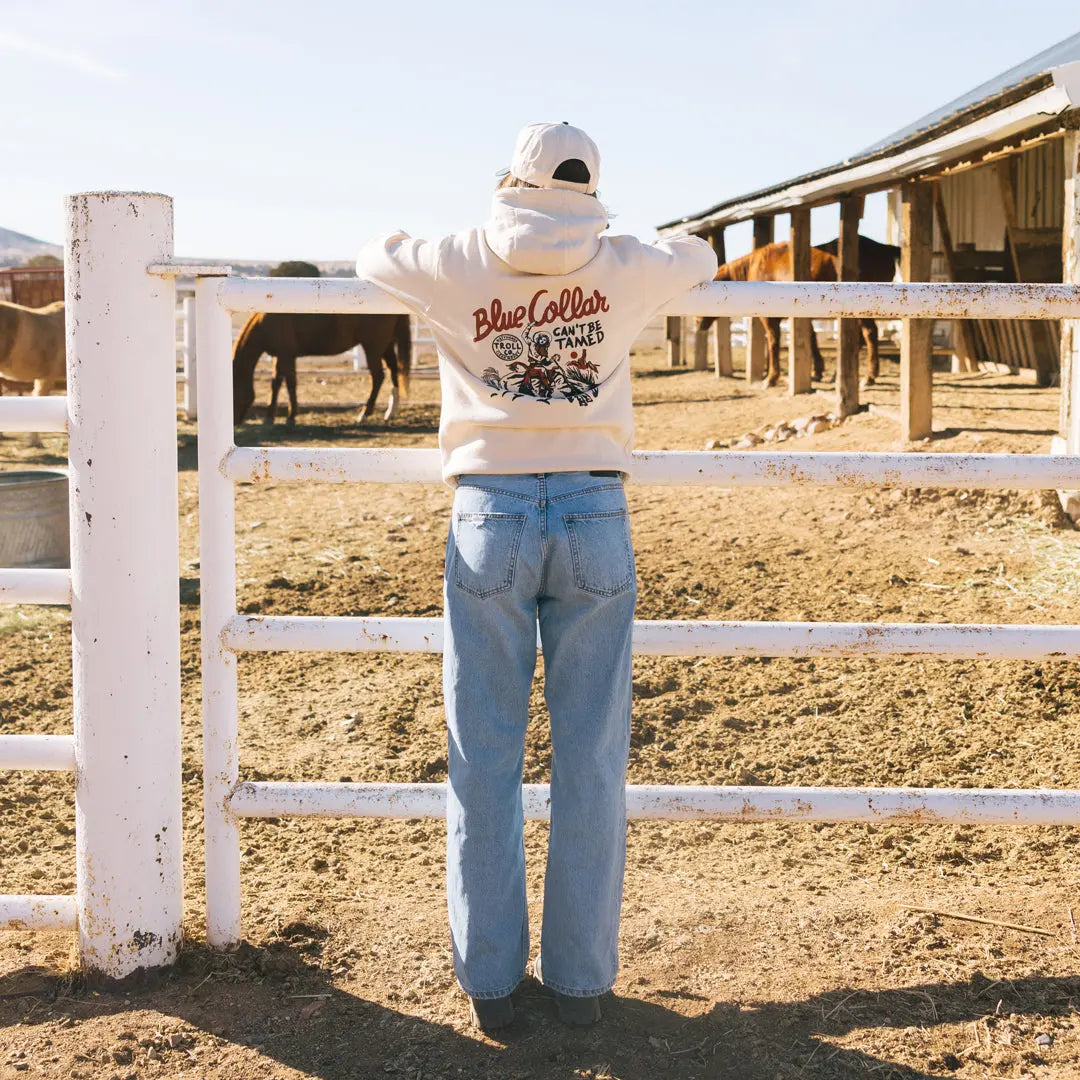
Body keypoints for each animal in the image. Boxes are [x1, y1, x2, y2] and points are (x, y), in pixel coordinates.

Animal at [230, 313, 410, 425]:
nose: (235, 422)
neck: (266, 321)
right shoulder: (281, 356)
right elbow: (276, 383)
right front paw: (270, 418)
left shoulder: (286, 355)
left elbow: (290, 383)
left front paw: (291, 416)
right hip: (385, 345)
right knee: (394, 370)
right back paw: (391, 412)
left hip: (373, 348)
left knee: (378, 377)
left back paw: (364, 414)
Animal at [695, 236, 898, 388]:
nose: (697, 322)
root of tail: (886, 248)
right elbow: (811, 338)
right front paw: (817, 371)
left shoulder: (769, 319)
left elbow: (773, 342)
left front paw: (771, 377)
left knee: (869, 334)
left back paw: (869, 377)